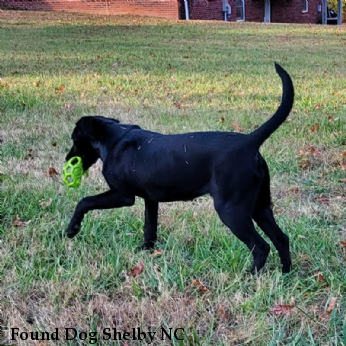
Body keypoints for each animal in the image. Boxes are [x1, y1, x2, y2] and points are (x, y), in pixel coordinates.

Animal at [65, 62, 294, 274]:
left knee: (261, 246)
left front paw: (71, 229)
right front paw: (146, 251)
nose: (67, 158)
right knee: (281, 238)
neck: (114, 138)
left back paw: (249, 275)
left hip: (232, 210)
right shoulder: (151, 200)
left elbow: (84, 202)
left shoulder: (122, 195)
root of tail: (249, 142)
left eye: (75, 139)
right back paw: (285, 273)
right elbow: (150, 229)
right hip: (260, 206)